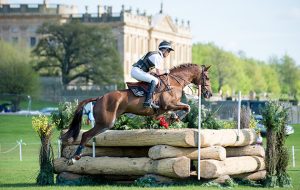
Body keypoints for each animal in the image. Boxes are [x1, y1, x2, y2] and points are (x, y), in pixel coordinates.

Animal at [61, 63, 212, 160]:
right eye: (207, 77)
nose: (209, 94)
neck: (174, 83)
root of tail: (99, 98)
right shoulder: (169, 104)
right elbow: (187, 107)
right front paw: (174, 119)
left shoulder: (166, 108)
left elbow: (180, 110)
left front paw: (171, 119)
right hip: (106, 122)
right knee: (86, 135)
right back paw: (74, 157)